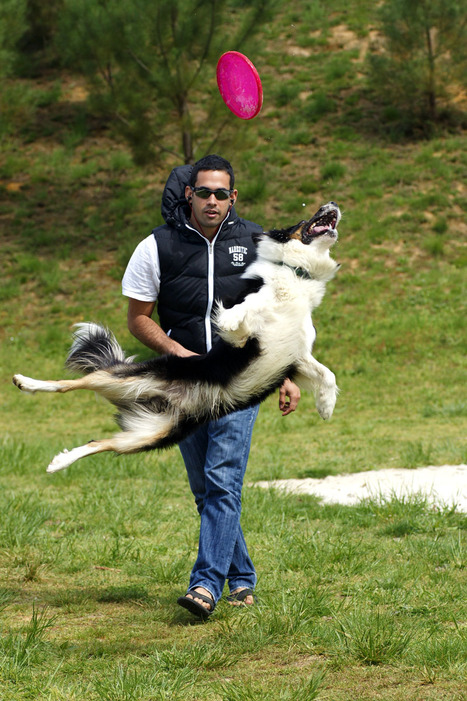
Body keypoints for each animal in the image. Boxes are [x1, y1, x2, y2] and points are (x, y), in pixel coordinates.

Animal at [12, 205, 342, 474]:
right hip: (128, 378)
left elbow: (328, 373)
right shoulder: (249, 328)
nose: (331, 204)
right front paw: (232, 318)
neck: (297, 275)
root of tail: (163, 396)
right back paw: (25, 382)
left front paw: (326, 406)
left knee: (99, 442)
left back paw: (59, 462)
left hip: (151, 435)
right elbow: (245, 310)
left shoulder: (298, 355)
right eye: (303, 219)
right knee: (72, 383)